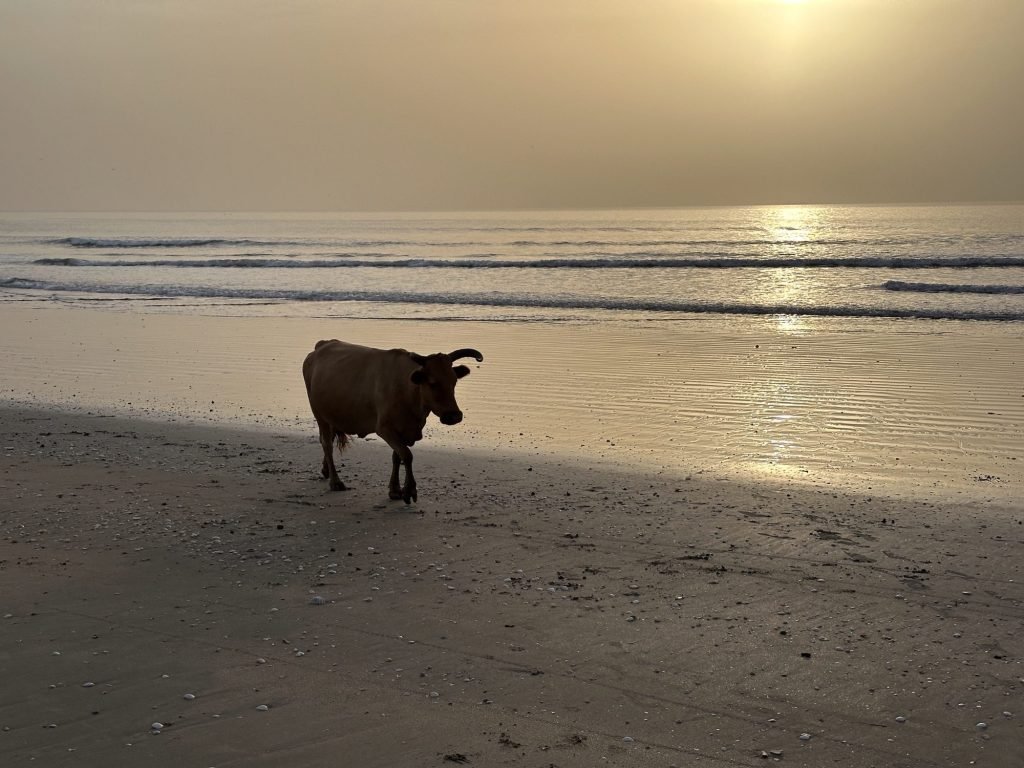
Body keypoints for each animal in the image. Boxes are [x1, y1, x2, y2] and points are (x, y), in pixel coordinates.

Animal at [302, 339, 484, 503]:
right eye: (432, 383)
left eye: (454, 381)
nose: (454, 416)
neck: (408, 391)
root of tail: (322, 345)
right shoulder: (385, 429)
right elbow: (407, 455)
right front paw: (409, 490)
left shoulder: (403, 431)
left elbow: (397, 456)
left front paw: (395, 490)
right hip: (319, 414)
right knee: (326, 443)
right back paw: (335, 481)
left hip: (331, 415)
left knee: (329, 439)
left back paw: (326, 470)